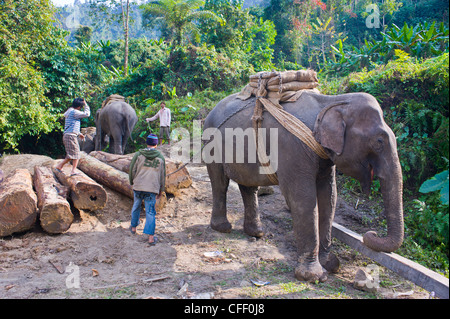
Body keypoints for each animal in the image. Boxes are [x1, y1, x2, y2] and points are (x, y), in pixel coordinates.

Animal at [202, 91, 402, 284]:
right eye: (379, 142)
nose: (370, 234)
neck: (332, 101)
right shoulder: (293, 148)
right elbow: (303, 199)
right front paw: (314, 276)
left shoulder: (324, 157)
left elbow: (329, 197)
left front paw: (330, 264)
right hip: (211, 142)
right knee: (220, 182)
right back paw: (223, 228)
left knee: (248, 185)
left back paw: (256, 232)